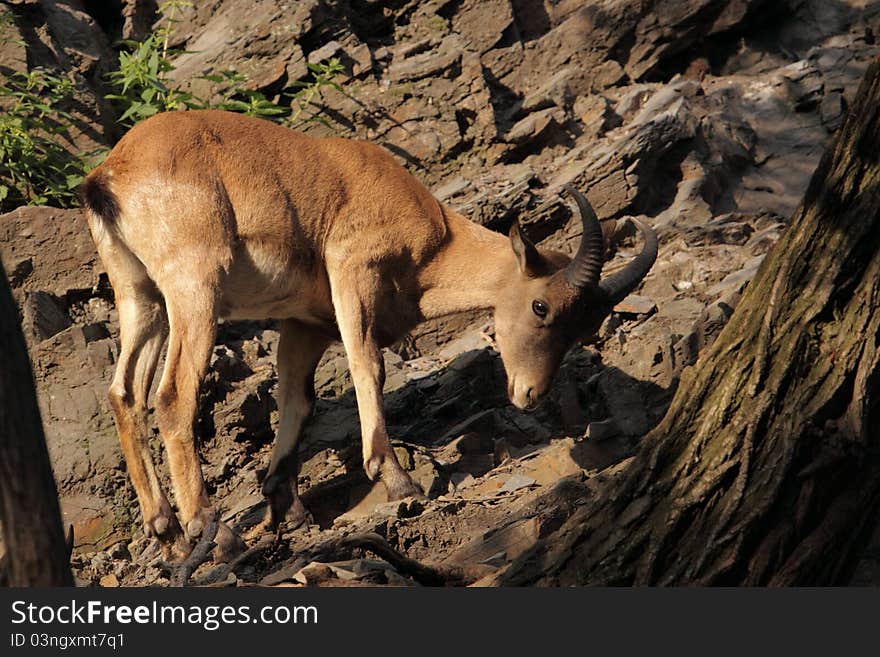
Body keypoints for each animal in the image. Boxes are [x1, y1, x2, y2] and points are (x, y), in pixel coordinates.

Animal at [82, 109, 656, 560]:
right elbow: (369, 365)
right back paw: (213, 532)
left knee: (124, 393)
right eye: (541, 306)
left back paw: (167, 532)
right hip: (194, 287)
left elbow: (299, 400)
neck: (433, 232)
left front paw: (289, 506)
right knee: (172, 395)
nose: (529, 394)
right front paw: (398, 478)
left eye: (584, 326)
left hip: (142, 297)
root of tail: (109, 177)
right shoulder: (353, 269)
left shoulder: (305, 324)